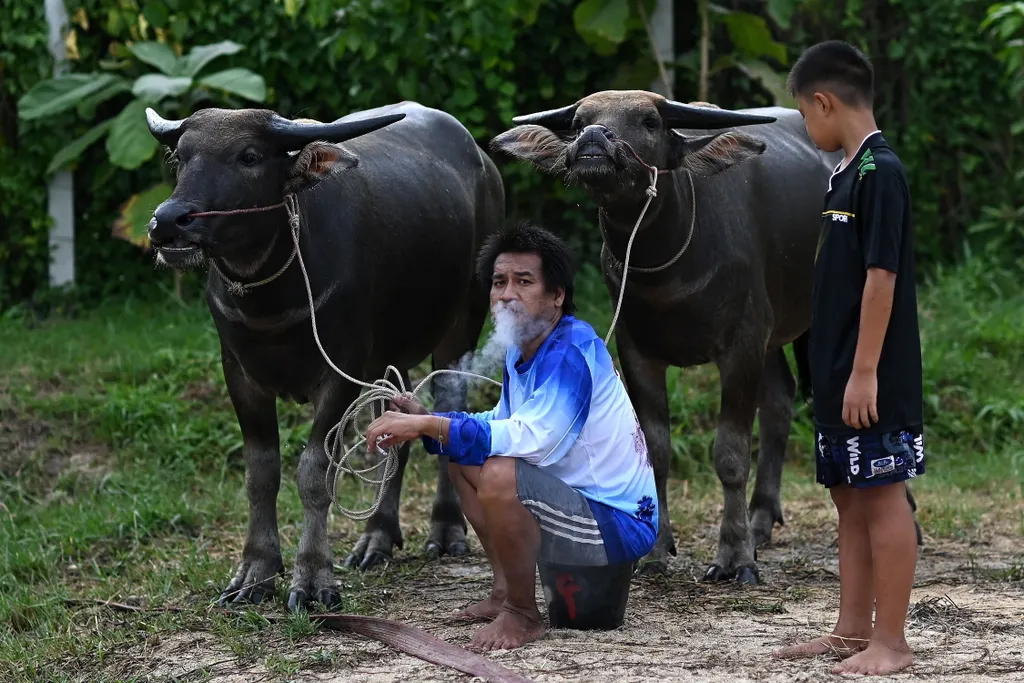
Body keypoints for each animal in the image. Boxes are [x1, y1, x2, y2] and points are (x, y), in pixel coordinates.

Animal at [146, 100, 505, 610]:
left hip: (461, 329)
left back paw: (446, 530)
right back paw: (376, 537)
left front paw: (314, 578)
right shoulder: (240, 375)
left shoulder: (340, 374)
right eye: (181, 157)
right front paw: (255, 571)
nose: (169, 221)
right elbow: (261, 472)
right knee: (393, 432)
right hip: (388, 358)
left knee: (447, 412)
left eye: (249, 156)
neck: (272, 298)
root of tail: (485, 165)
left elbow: (316, 472)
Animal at [489, 88, 921, 585]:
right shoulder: (638, 351)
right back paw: (761, 518)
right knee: (780, 399)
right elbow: (655, 449)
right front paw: (656, 550)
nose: (594, 138)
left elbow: (730, 454)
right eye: (580, 120)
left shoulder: (741, 346)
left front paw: (736, 557)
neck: (669, 271)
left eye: (650, 121)